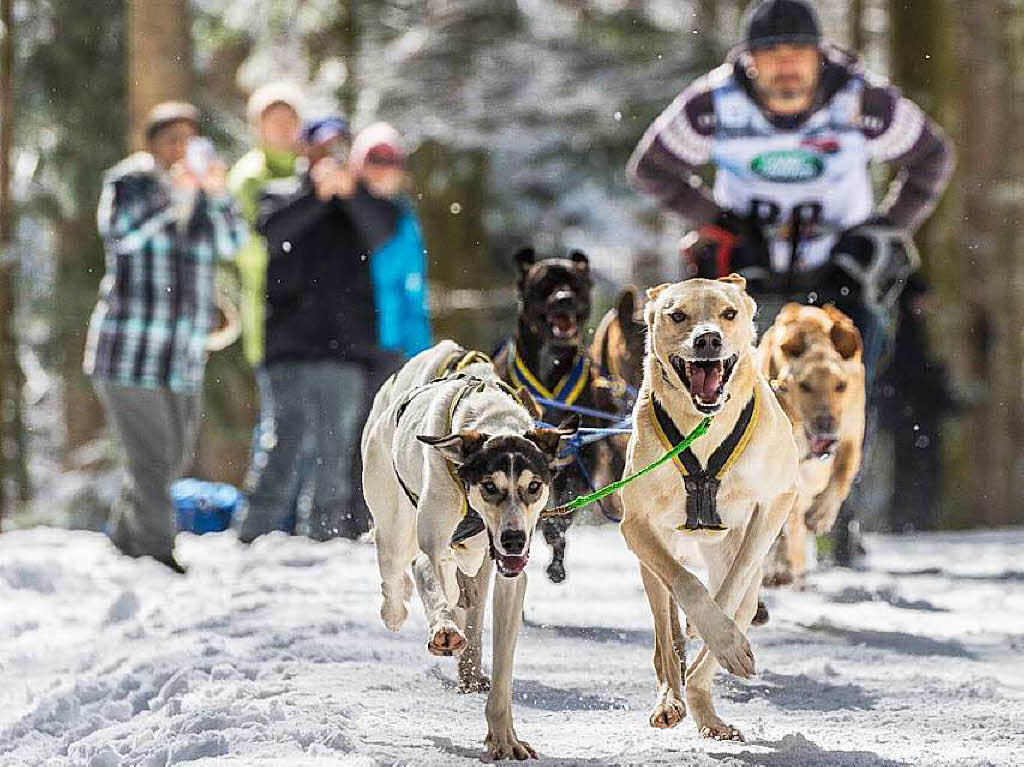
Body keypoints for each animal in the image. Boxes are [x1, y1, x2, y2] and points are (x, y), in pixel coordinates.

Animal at [360, 342, 573, 761]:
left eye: (534, 486)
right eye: (489, 486)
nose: (513, 540)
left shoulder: (511, 581)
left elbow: (503, 667)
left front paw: (504, 737)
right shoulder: (432, 545)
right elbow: (429, 576)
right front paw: (443, 627)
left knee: (465, 596)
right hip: (395, 530)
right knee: (397, 574)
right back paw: (399, 610)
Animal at [614, 274, 798, 737]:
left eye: (729, 313)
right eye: (677, 315)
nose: (708, 338)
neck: (704, 429)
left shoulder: (775, 502)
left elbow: (728, 593)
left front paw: (724, 638)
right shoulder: (636, 525)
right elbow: (688, 585)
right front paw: (702, 625)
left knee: (719, 633)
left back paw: (706, 708)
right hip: (651, 565)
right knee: (666, 639)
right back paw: (671, 699)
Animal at [761, 303, 864, 581]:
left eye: (840, 385)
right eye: (805, 385)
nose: (825, 425)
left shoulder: (851, 435)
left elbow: (842, 474)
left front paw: (821, 515)